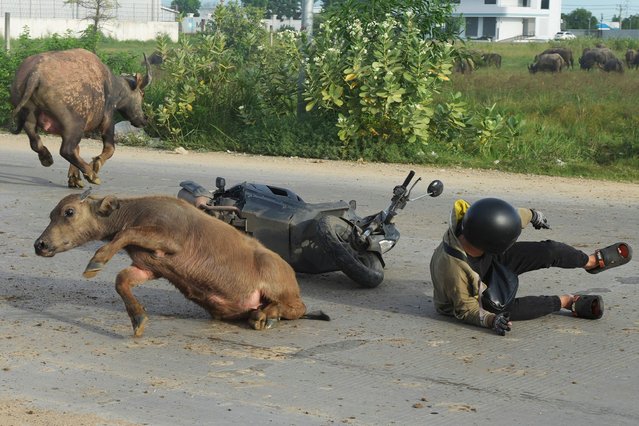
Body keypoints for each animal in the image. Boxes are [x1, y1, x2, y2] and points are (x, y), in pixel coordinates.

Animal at [10, 48, 151, 188]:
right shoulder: (108, 119)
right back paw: (92, 175)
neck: (112, 86)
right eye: (142, 93)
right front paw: (95, 165)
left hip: (29, 118)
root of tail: (36, 73)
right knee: (66, 150)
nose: (144, 119)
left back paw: (47, 158)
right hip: (75, 125)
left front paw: (74, 178)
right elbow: (110, 148)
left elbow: (78, 149)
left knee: (36, 143)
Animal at [33, 193, 330, 336]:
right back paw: (260, 314)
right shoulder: (149, 266)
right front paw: (138, 318)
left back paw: (267, 317)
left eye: (69, 212)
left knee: (298, 307)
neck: (135, 212)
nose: (40, 244)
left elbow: (125, 233)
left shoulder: (169, 240)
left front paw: (96, 261)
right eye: (51, 214)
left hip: (280, 284)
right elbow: (121, 281)